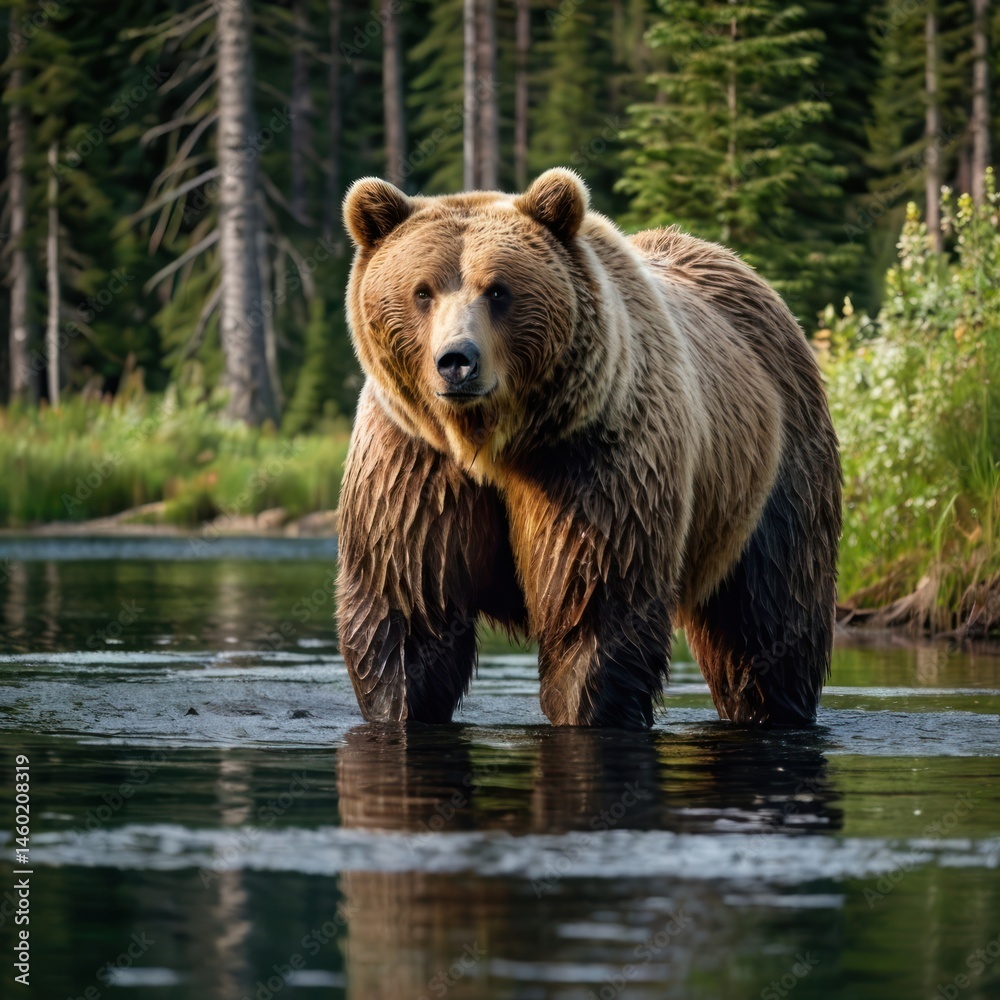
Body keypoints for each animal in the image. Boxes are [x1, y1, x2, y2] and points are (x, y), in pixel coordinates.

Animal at [336, 167, 841, 730]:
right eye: (422, 290)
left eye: (498, 290)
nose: (456, 361)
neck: (492, 441)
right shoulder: (414, 463)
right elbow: (409, 607)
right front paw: (401, 708)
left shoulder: (590, 460)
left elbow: (593, 607)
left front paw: (588, 710)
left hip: (777, 471)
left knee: (767, 616)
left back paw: (775, 707)